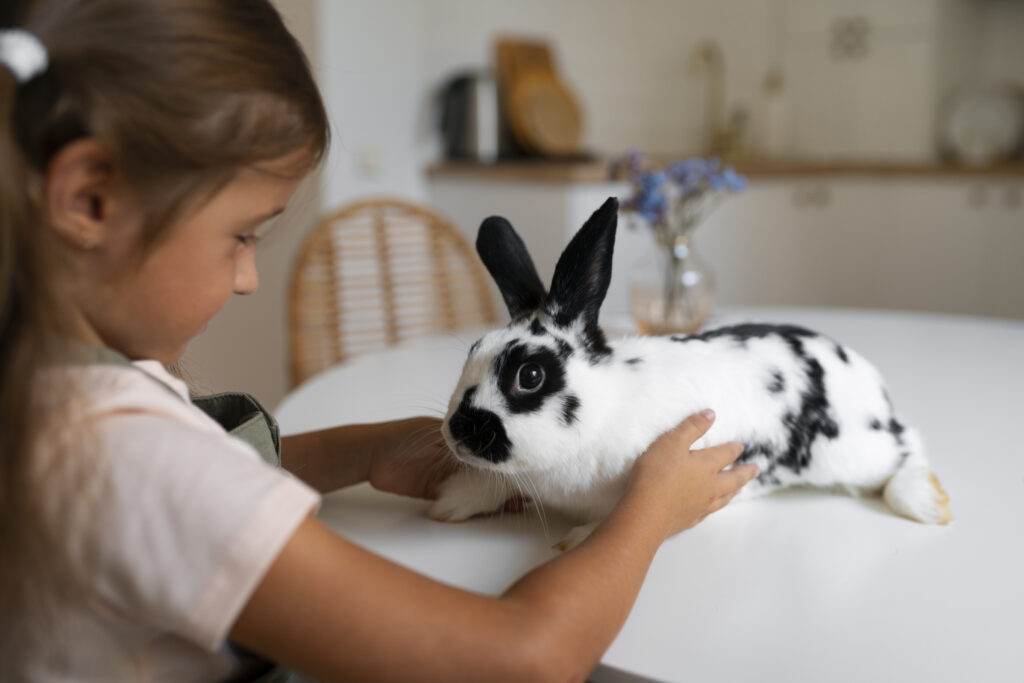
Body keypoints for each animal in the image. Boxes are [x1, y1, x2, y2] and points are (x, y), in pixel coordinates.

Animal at [429, 196, 952, 549]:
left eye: (530, 377)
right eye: (473, 349)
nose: (459, 433)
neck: (604, 405)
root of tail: (871, 383)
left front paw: (575, 540)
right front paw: (448, 503)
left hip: (852, 451)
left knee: (908, 447)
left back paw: (926, 504)